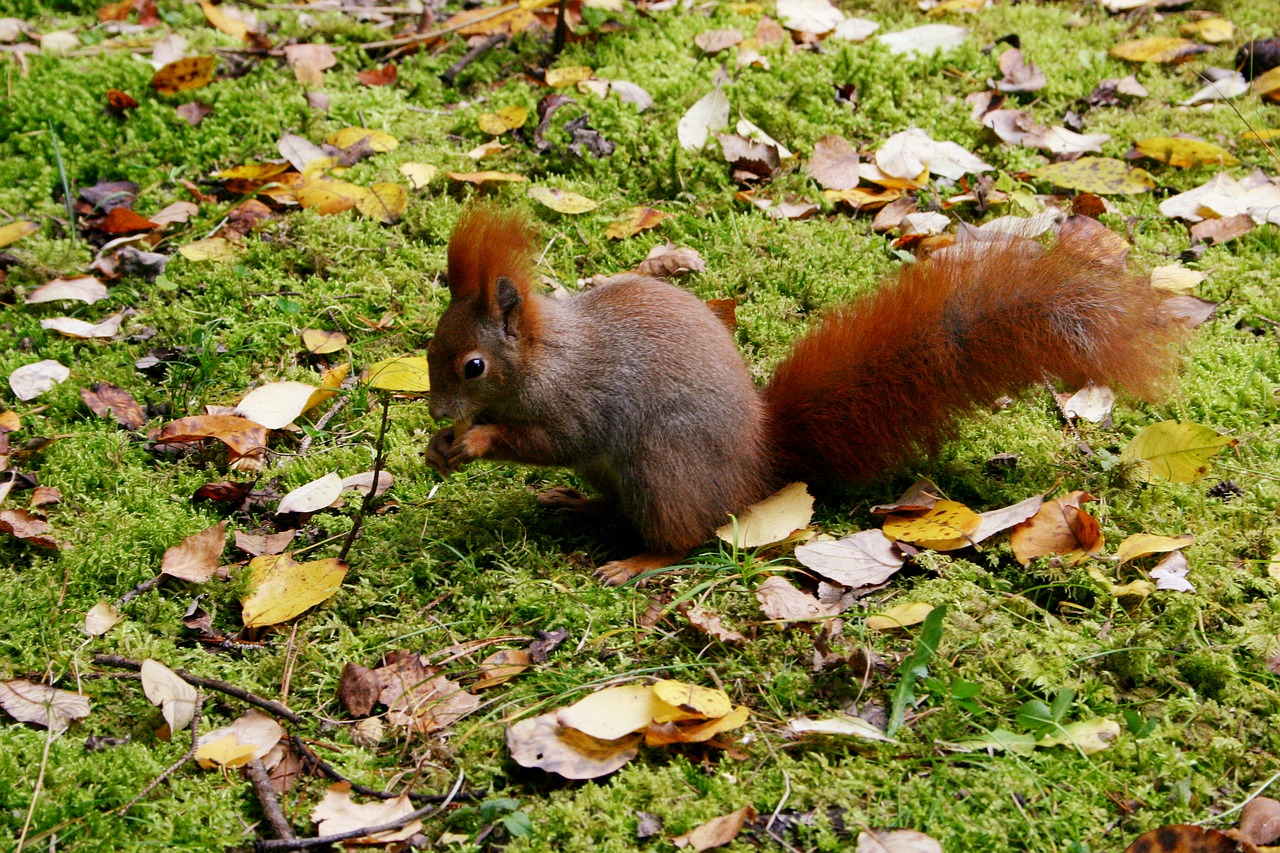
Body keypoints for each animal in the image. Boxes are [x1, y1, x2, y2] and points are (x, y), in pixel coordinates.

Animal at [427, 206, 1177, 584]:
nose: (436, 412)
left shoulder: (578, 400)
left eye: (472, 366)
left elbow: (549, 439)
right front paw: (439, 448)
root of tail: (757, 463)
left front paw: (474, 440)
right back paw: (574, 504)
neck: (544, 355)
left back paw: (637, 560)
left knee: (685, 534)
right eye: (432, 347)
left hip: (664, 470)